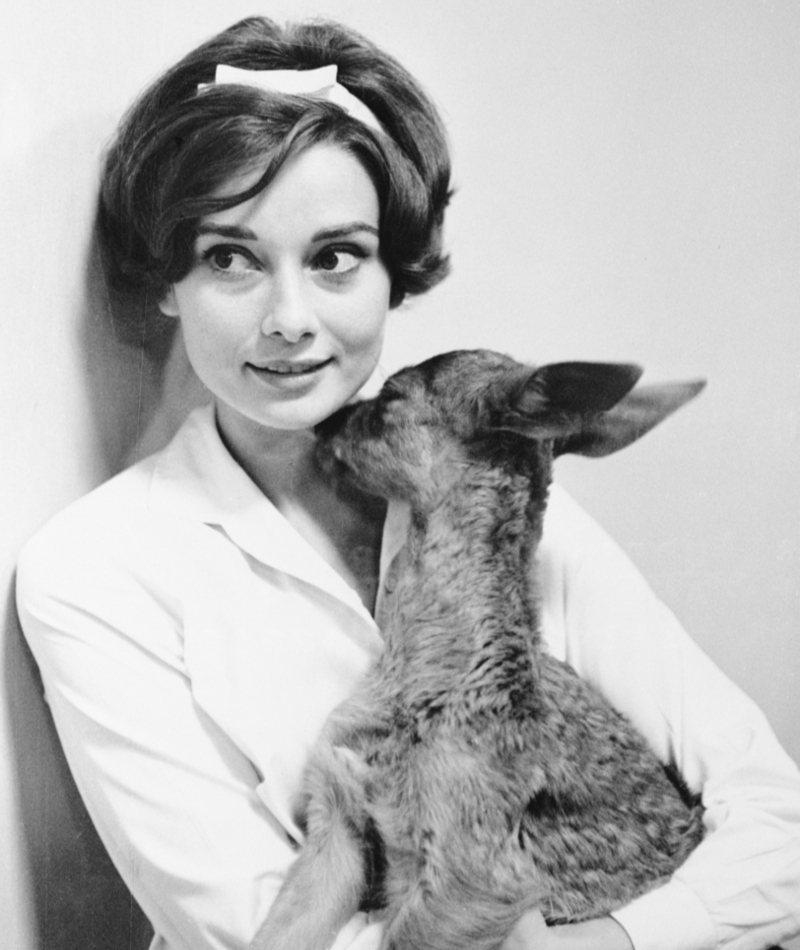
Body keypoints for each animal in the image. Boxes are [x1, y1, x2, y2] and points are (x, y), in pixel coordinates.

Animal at [250, 350, 708, 950]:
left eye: (392, 395)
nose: (325, 422)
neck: (435, 671)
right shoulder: (337, 818)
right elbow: (281, 931)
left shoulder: (469, 881)